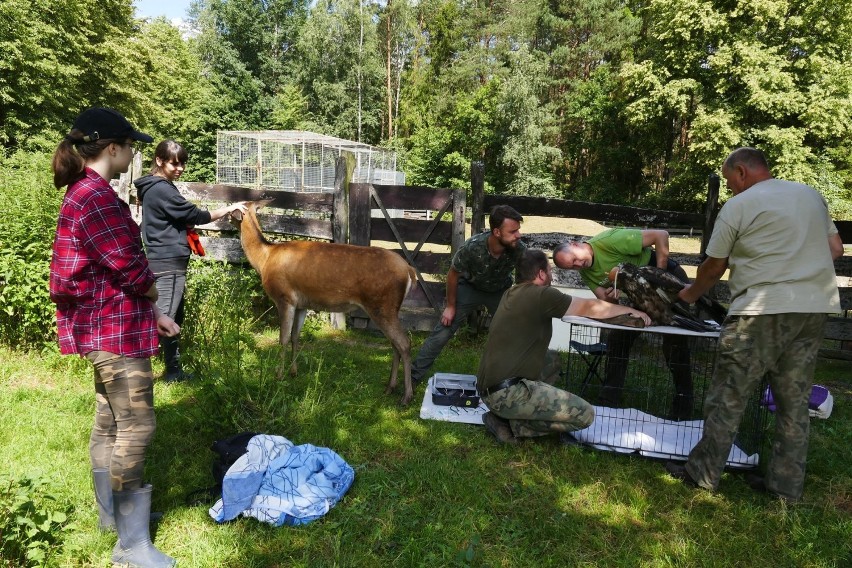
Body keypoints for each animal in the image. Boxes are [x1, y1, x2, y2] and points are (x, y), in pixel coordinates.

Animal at [231, 200, 422, 404]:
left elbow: (282, 339)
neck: (265, 259)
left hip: (382, 305)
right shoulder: (302, 304)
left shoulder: (284, 297)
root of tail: (409, 271)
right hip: (389, 308)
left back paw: (406, 395)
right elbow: (295, 336)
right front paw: (293, 372)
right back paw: (389, 388)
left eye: (231, 210)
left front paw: (278, 376)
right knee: (395, 344)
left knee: (404, 342)